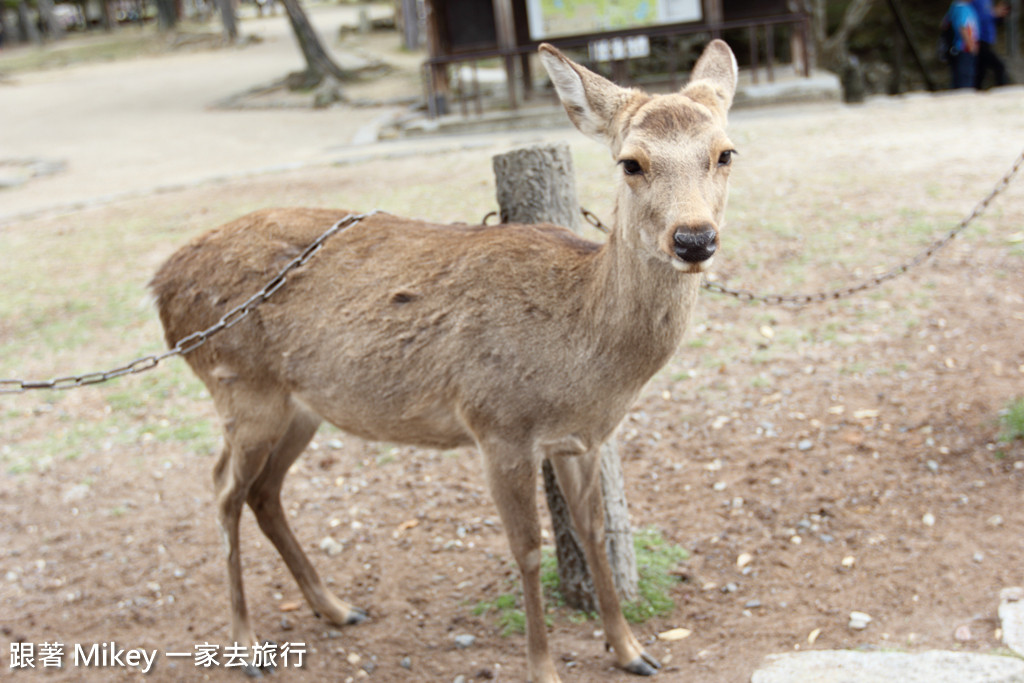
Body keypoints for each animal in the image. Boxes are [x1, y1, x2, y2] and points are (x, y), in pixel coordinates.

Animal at [149, 40, 737, 679]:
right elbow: (527, 550)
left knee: (263, 492)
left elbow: (594, 530)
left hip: (299, 406)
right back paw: (246, 643)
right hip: (241, 387)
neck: (586, 362)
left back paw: (336, 608)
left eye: (725, 153)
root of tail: (160, 284)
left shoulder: (581, 439)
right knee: (222, 490)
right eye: (630, 163)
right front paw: (543, 666)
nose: (694, 239)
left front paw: (632, 650)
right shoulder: (497, 425)